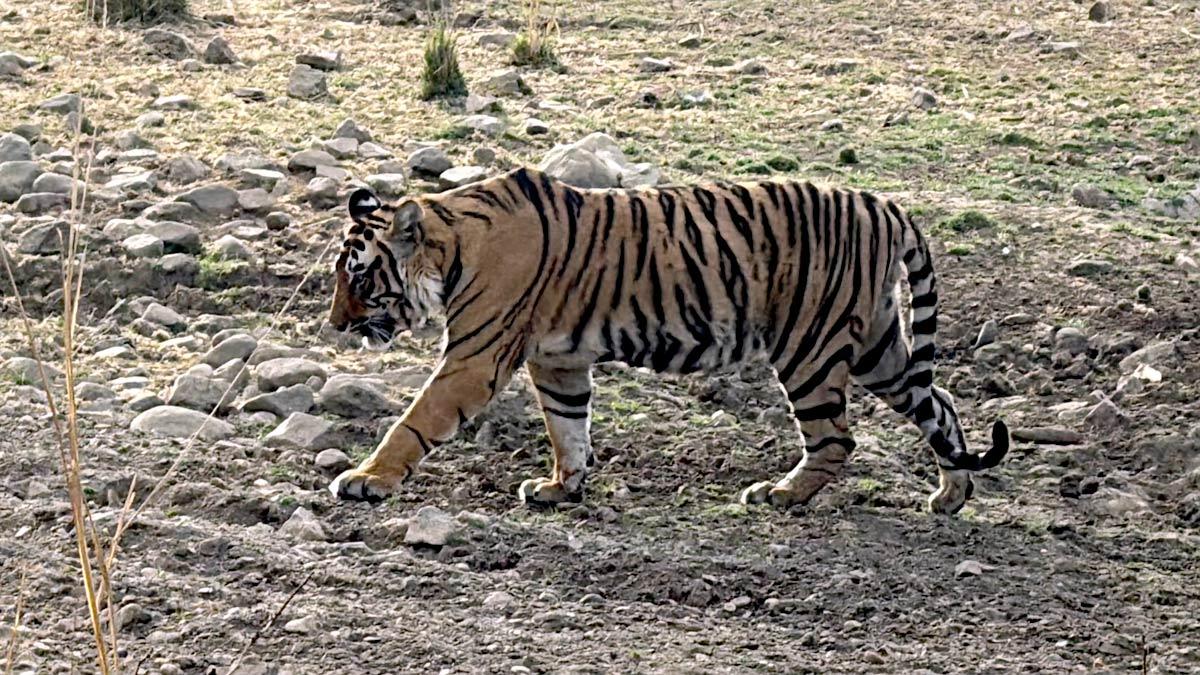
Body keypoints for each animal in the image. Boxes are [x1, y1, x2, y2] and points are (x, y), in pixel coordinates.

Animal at [327, 167, 1009, 515]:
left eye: (359, 276)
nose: (335, 324)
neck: (450, 242)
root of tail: (885, 204)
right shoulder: (558, 361)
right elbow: (568, 428)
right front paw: (561, 488)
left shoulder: (476, 356)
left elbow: (415, 420)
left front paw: (365, 479)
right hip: (876, 347)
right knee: (939, 403)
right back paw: (950, 495)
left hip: (811, 347)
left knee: (837, 438)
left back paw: (781, 494)